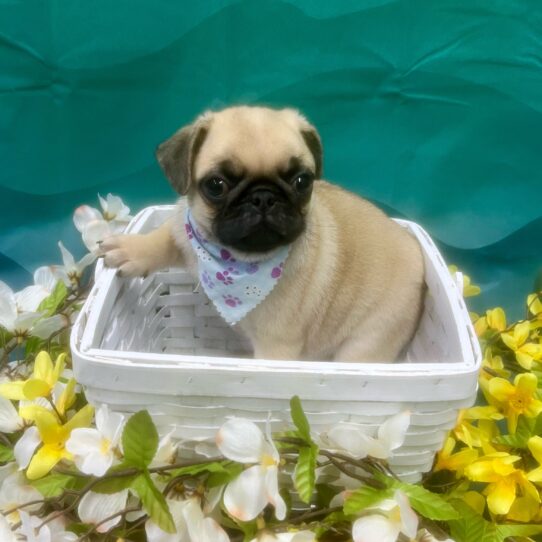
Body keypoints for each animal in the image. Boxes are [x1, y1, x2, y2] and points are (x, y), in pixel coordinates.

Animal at [101, 105, 424, 364]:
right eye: (216, 185)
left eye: (302, 181)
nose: (264, 197)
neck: (236, 262)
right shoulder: (186, 233)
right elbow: (165, 238)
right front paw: (131, 249)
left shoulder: (276, 346)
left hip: (369, 340)